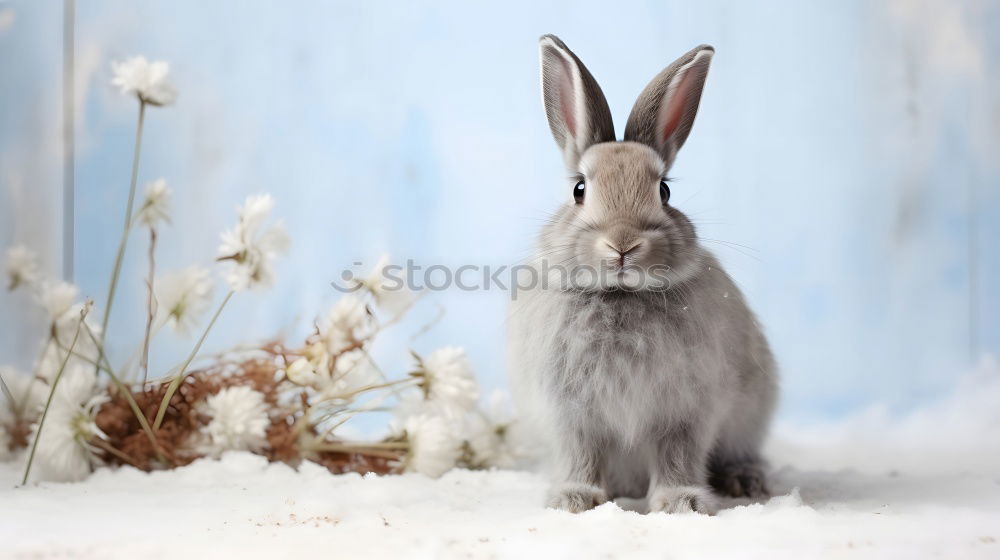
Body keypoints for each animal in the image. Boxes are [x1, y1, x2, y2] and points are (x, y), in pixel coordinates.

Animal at [508, 35, 780, 516]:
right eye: (579, 189)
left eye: (664, 190)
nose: (623, 244)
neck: (620, 295)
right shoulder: (572, 413)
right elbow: (582, 454)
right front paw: (574, 499)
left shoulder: (684, 412)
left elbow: (678, 457)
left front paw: (681, 504)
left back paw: (745, 480)